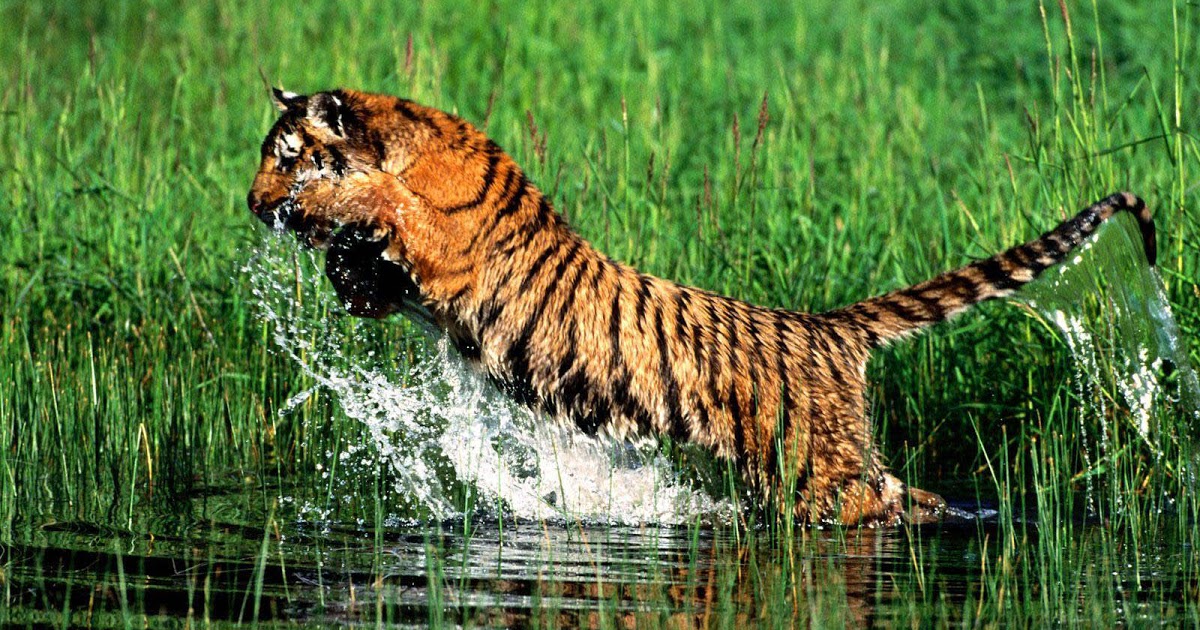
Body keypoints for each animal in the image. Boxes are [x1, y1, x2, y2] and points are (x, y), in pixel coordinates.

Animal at [243, 85, 1152, 523]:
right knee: (907, 492)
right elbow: (371, 267)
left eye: (285, 157)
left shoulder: (449, 247)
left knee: (882, 501)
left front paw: (334, 208)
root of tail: (828, 328)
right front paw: (345, 265)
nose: (253, 206)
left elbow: (388, 204)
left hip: (820, 471)